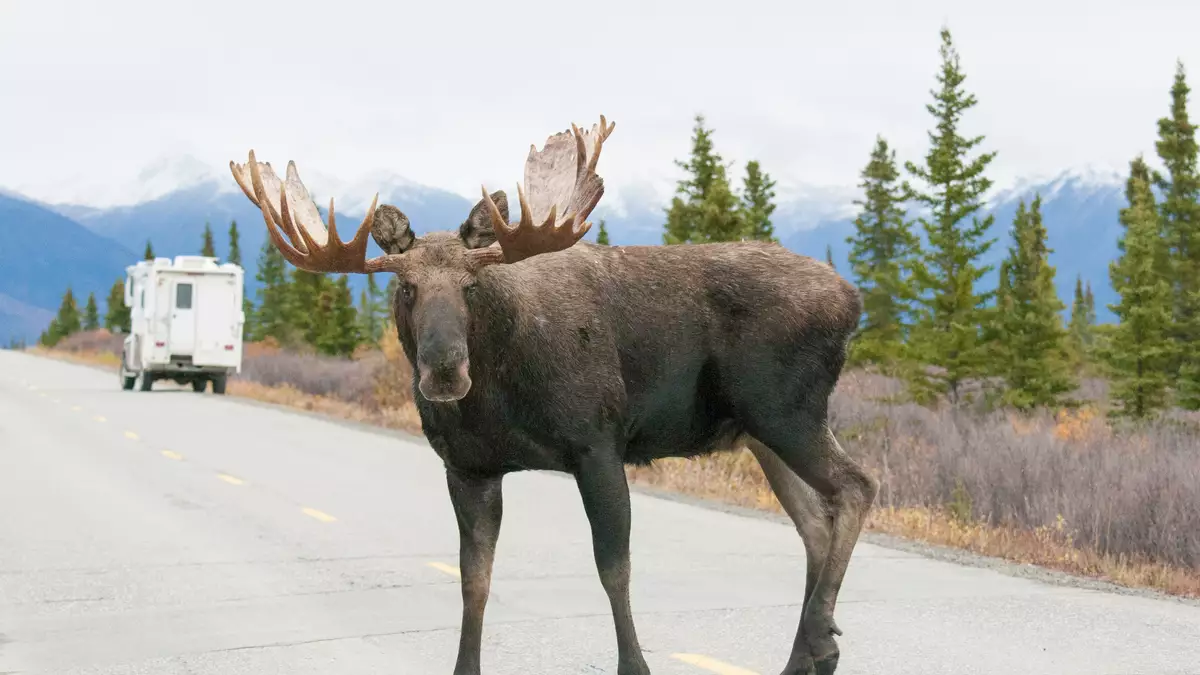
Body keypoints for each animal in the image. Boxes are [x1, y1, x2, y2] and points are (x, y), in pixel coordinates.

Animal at [229, 115, 878, 675]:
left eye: (471, 284)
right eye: (406, 287)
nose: (445, 370)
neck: (498, 395)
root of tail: (853, 300)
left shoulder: (598, 446)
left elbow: (613, 569)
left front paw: (635, 667)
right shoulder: (469, 467)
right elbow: (474, 579)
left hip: (787, 412)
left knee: (857, 486)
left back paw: (822, 638)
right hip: (760, 433)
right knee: (814, 523)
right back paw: (805, 654)